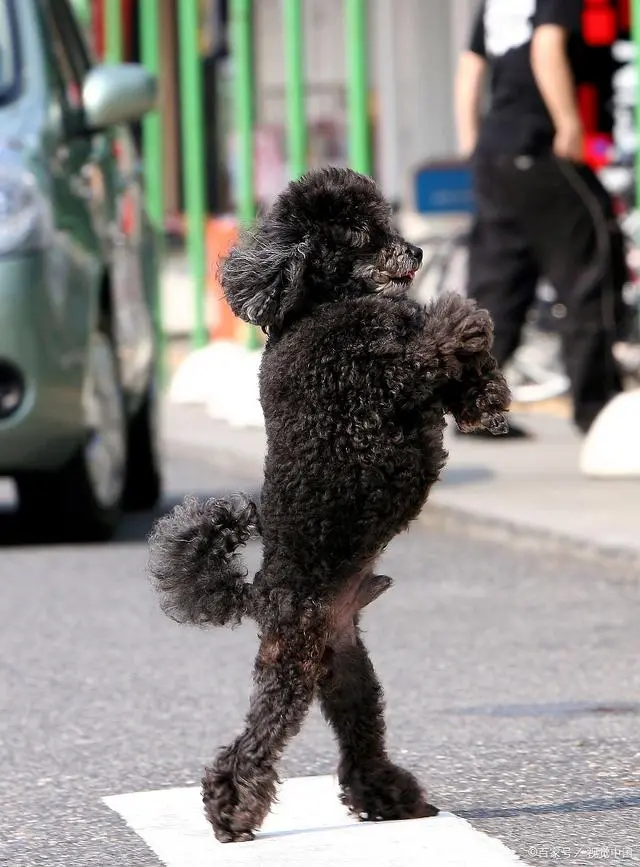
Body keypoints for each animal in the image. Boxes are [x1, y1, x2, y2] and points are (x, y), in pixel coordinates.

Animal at [149, 166, 510, 844]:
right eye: (364, 235)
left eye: (388, 224)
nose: (416, 252)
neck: (324, 305)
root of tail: (256, 592)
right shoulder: (382, 383)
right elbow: (434, 345)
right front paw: (463, 320)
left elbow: (454, 372)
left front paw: (488, 399)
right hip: (293, 659)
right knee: (258, 739)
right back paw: (230, 811)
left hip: (346, 670)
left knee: (358, 740)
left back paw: (388, 797)